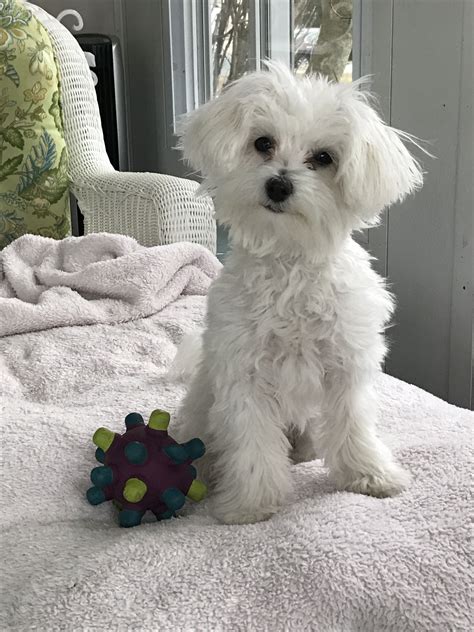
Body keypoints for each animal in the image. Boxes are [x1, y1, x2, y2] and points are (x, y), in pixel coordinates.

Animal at [176, 63, 424, 524]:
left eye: (324, 158)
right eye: (263, 143)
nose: (278, 185)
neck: (289, 258)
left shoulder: (346, 364)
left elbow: (353, 422)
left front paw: (369, 475)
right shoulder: (245, 374)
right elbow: (252, 442)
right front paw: (251, 503)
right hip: (203, 407)